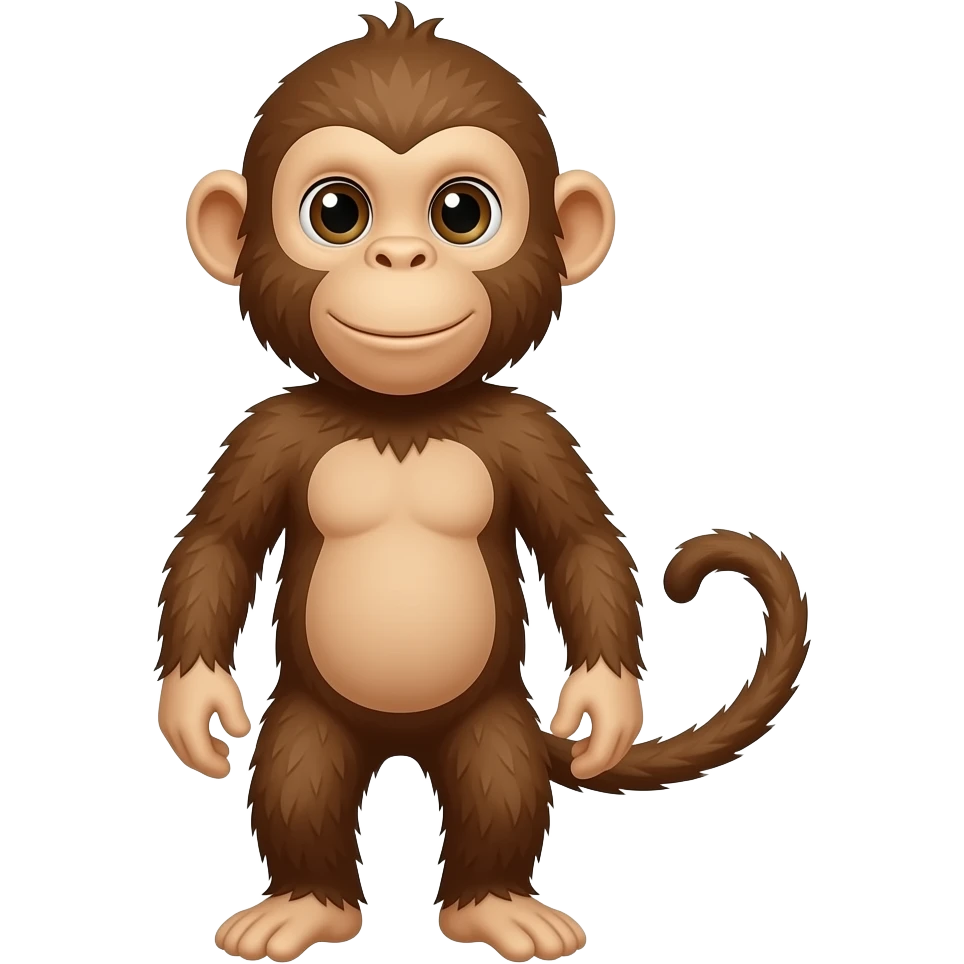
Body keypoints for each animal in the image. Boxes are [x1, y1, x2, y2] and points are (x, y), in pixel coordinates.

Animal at [158, 5, 811, 962]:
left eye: (460, 212)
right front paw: (194, 703)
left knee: (498, 783)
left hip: (495, 714)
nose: (400, 257)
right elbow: (219, 543)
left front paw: (605, 704)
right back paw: (306, 903)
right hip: (313, 713)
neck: (401, 417)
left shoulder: (532, 434)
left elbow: (580, 542)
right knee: (298, 775)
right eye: (337, 212)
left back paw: (494, 904)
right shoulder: (265, 435)